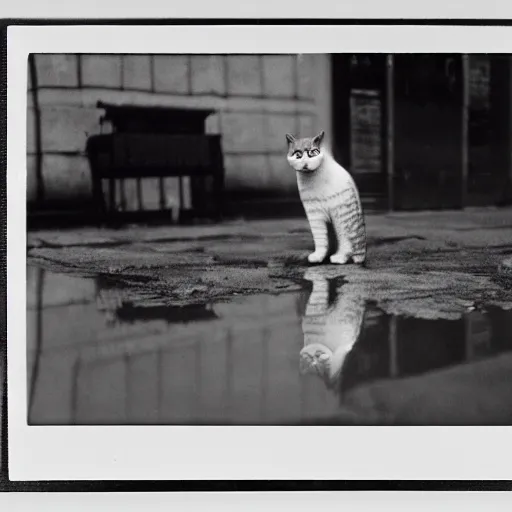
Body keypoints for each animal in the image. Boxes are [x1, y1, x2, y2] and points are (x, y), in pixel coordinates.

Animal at [286, 130, 366, 266]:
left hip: (341, 220)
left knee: (347, 243)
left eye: (312, 152)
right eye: (298, 154)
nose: (305, 164)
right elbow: (320, 239)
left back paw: (340, 258)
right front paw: (318, 257)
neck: (310, 176)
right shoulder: (314, 213)